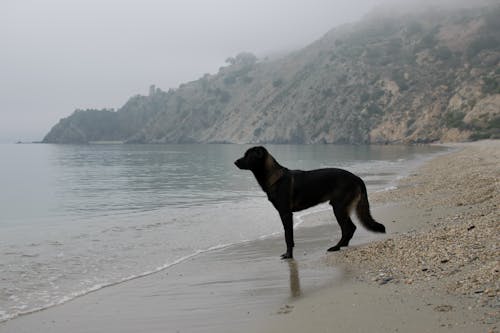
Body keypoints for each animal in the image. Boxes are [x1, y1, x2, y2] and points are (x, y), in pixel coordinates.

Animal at [235, 146, 386, 260]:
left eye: (248, 155)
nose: (235, 162)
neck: (274, 177)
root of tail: (357, 178)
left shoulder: (285, 213)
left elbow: (288, 236)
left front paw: (289, 255)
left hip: (338, 208)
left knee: (348, 228)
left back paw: (336, 247)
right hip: (342, 208)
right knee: (351, 228)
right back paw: (342, 245)